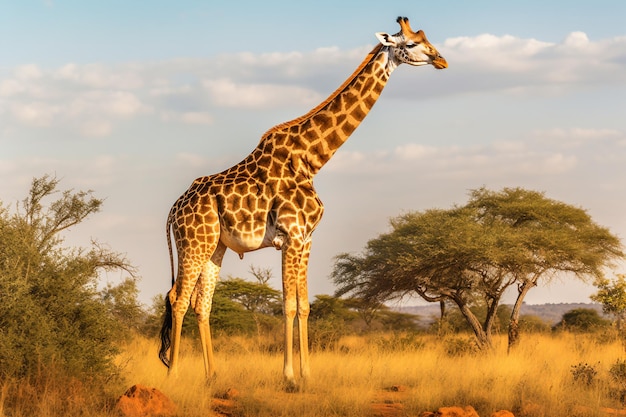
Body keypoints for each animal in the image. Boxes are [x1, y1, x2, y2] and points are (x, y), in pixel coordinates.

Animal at [158, 16, 446, 386]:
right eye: (411, 44)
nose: (442, 60)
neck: (312, 159)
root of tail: (173, 209)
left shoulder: (308, 238)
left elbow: (305, 305)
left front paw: (307, 373)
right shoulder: (291, 235)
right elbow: (289, 305)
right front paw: (289, 376)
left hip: (215, 246)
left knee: (201, 303)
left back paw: (213, 376)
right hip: (193, 243)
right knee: (178, 298)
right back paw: (174, 375)